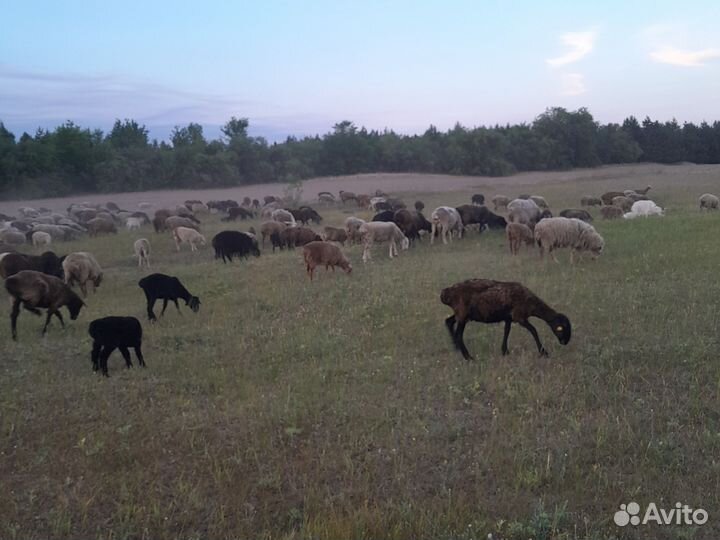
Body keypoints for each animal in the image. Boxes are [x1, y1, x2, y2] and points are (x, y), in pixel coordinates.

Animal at [440, 278, 571, 360]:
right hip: (463, 314)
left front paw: (505, 351)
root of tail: (446, 293)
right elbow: (533, 330)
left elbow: (506, 331)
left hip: (460, 314)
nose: (565, 343)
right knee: (458, 335)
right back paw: (468, 357)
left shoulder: (508, 317)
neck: (532, 304)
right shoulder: (519, 316)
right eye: (562, 328)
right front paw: (544, 352)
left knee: (449, 321)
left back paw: (457, 348)